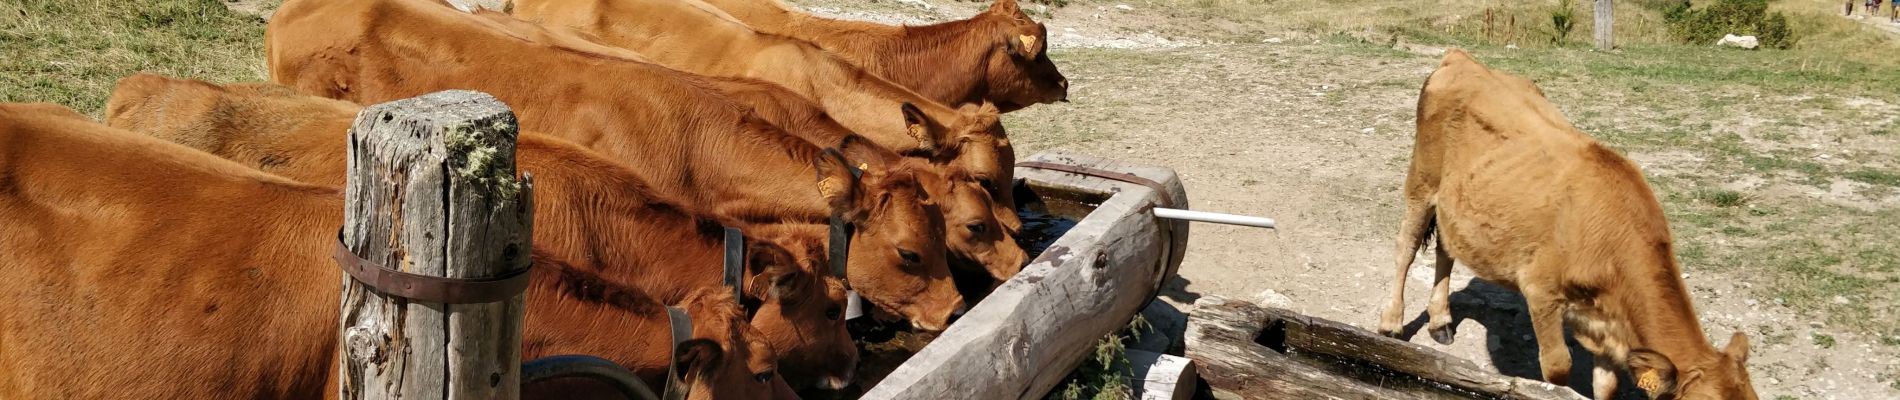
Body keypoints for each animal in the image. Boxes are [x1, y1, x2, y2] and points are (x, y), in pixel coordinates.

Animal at [1383, 50, 1763, 400]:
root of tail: (1463, 58)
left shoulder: (1607, 330)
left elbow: (1607, 387)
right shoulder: (1540, 292)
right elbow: (1557, 368)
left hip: (1456, 206)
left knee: (1446, 250)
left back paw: (1440, 321)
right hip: (1421, 182)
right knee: (1406, 248)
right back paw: (1391, 325)